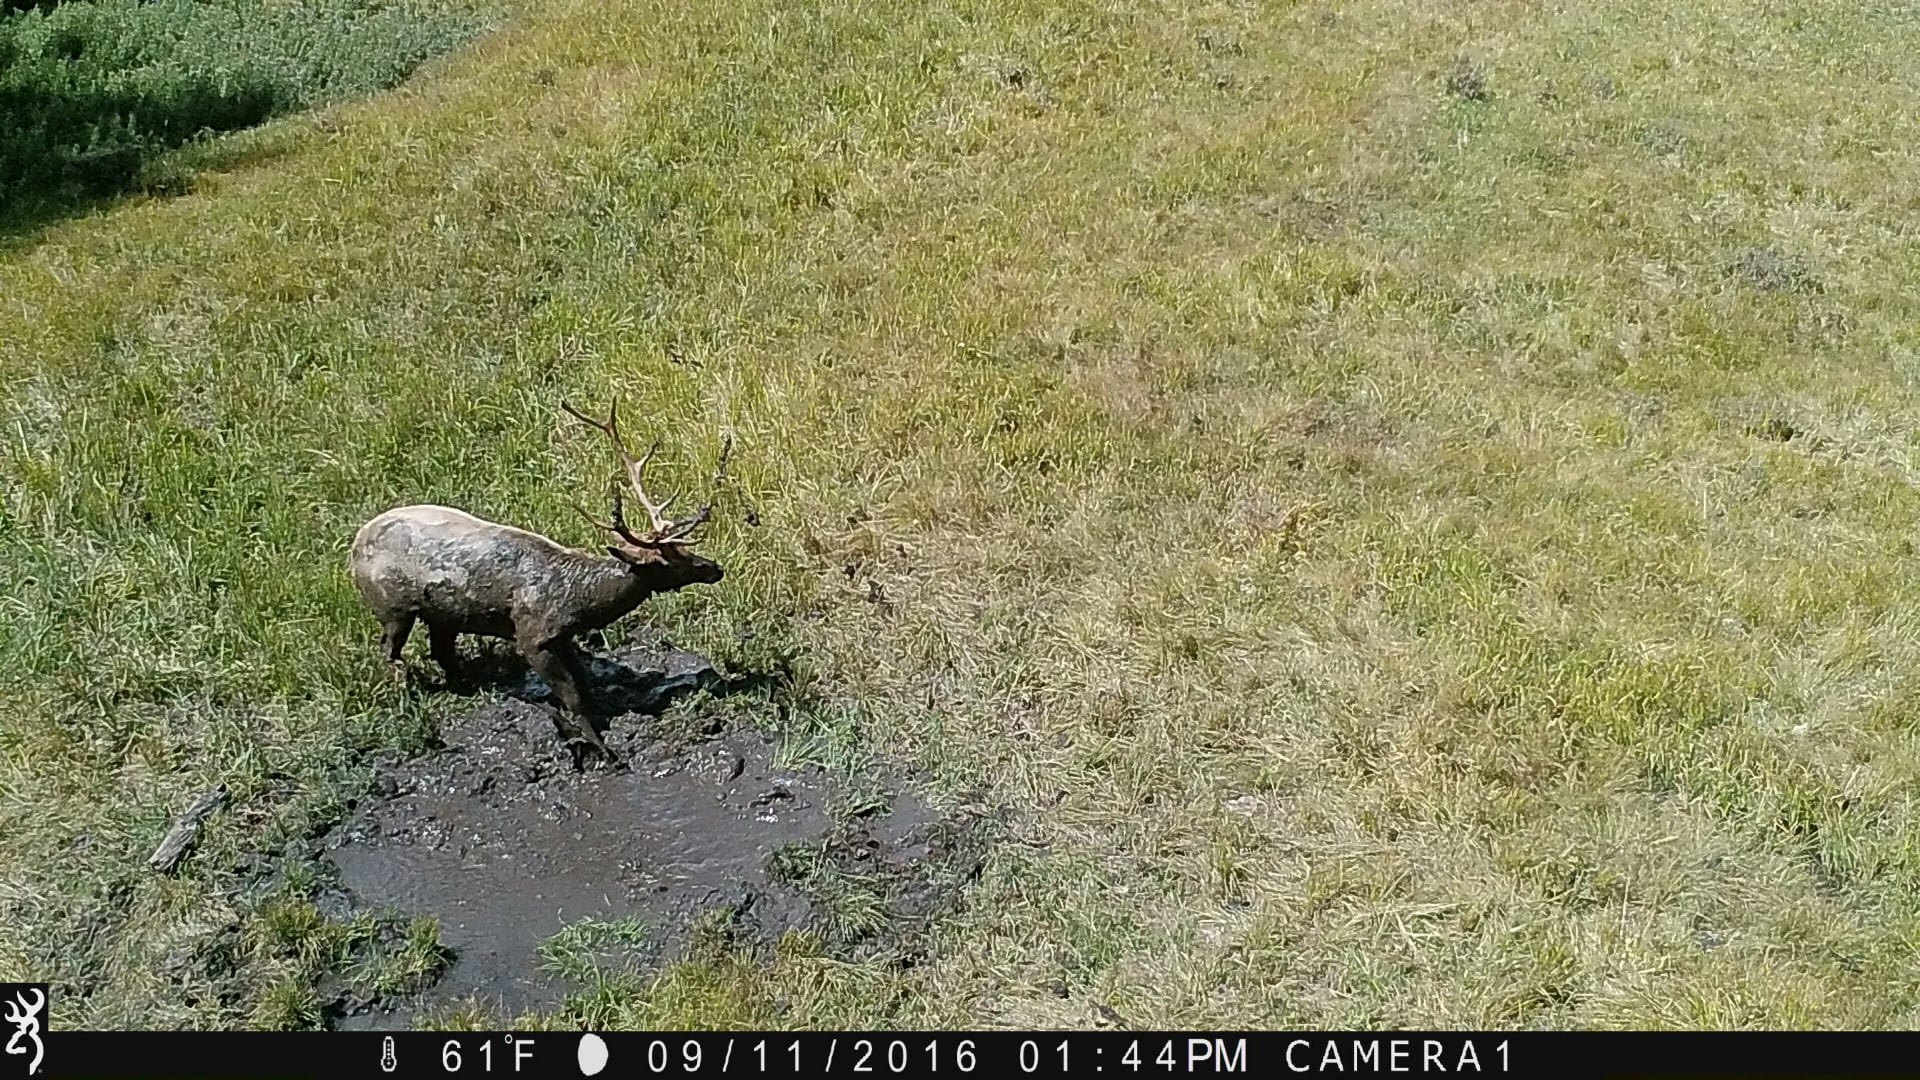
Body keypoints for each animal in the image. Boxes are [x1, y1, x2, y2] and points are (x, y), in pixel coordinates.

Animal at [349, 399, 729, 768]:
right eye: (670, 562)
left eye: (684, 550)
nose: (715, 568)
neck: (578, 602)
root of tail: (352, 547)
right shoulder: (531, 636)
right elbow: (572, 695)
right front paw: (602, 749)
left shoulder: (561, 636)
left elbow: (585, 684)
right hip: (392, 606)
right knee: (390, 653)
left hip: (443, 613)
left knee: (440, 650)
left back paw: (467, 685)